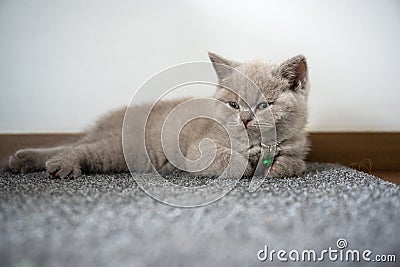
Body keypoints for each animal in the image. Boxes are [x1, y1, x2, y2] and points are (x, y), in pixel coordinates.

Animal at [5, 51, 310, 180]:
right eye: (233, 105)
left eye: (264, 105)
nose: (245, 119)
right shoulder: (196, 150)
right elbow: (227, 158)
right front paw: (246, 163)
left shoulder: (296, 149)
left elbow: (293, 163)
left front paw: (275, 165)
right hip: (126, 149)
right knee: (82, 148)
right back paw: (59, 164)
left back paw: (22, 160)